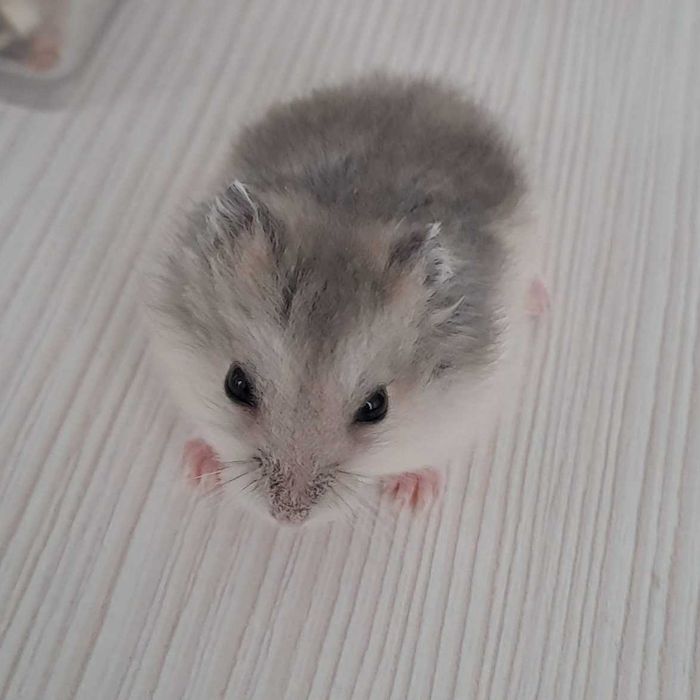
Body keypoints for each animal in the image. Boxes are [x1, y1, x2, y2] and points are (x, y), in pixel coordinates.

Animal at [145, 75, 546, 525]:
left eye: (376, 406)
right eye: (235, 384)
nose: (288, 518)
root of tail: (422, 85)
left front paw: (410, 498)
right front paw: (198, 470)